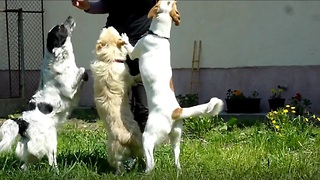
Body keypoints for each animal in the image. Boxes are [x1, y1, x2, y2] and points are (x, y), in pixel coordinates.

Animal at [0, 15, 87, 172]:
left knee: (25, 164)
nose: (70, 16)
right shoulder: (69, 89)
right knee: (51, 160)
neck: (58, 57)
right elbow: (82, 69)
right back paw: (57, 173)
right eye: (61, 27)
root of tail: (22, 122)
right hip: (51, 139)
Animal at [90, 26, 144, 174]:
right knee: (120, 165)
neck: (109, 60)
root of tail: (128, 138)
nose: (107, 26)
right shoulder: (130, 78)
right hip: (113, 152)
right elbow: (135, 77)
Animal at [121, 0, 224, 174]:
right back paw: (178, 171)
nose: (176, 0)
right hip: (176, 139)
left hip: (148, 137)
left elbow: (129, 47)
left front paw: (124, 38)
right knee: (176, 159)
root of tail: (176, 111)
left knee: (151, 162)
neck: (160, 36)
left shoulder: (135, 52)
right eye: (173, 3)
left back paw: (146, 173)